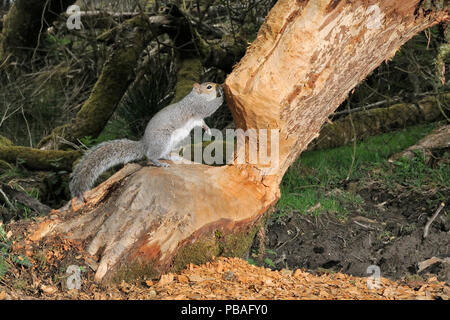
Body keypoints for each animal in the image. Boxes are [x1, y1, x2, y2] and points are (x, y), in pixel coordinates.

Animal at [69, 84, 224, 201]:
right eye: (209, 86)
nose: (219, 85)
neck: (195, 97)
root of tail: (145, 144)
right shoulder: (196, 107)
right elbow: (209, 108)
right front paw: (222, 95)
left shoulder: (197, 118)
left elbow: (202, 123)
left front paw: (208, 130)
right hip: (162, 139)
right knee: (151, 156)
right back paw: (160, 163)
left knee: (162, 154)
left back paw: (170, 157)